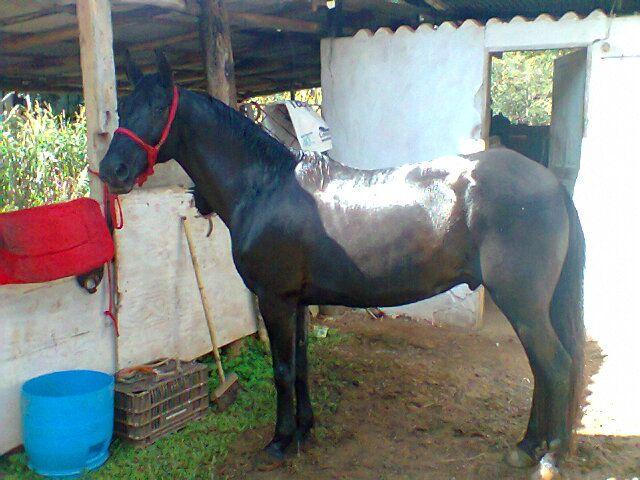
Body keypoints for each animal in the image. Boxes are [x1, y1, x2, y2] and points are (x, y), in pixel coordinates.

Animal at [99, 52, 585, 476]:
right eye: (124, 108)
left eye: (158, 107)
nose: (112, 170)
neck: (265, 186)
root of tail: (551, 184)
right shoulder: (295, 301)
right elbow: (300, 364)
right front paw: (305, 431)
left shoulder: (274, 299)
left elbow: (281, 371)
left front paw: (279, 442)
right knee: (544, 367)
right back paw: (527, 446)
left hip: (522, 303)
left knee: (556, 365)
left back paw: (549, 457)